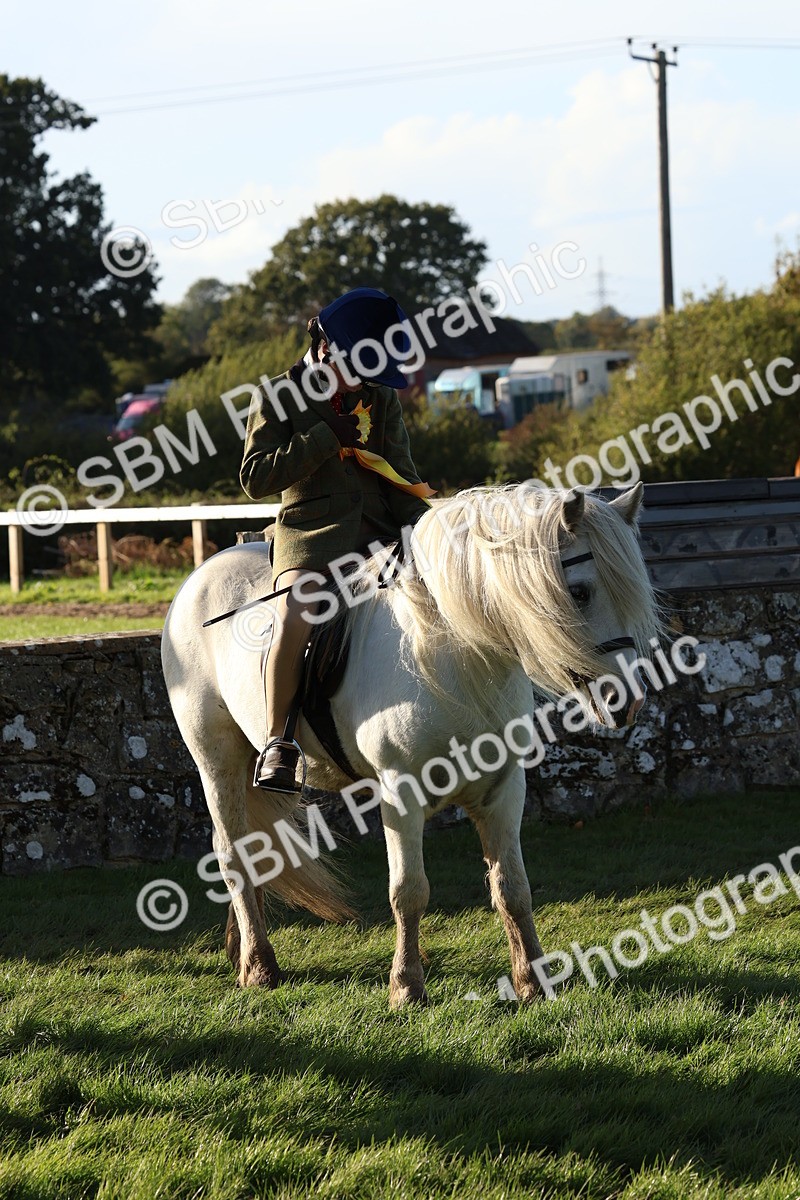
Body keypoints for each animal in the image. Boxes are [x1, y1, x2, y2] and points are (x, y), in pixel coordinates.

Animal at [161, 482, 663, 1006]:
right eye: (580, 592)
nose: (626, 700)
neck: (456, 656)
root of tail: (203, 574)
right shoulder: (401, 794)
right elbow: (409, 891)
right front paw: (406, 985)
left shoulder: (504, 789)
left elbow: (513, 887)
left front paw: (533, 980)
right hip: (216, 759)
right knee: (233, 852)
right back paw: (259, 966)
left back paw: (242, 951)